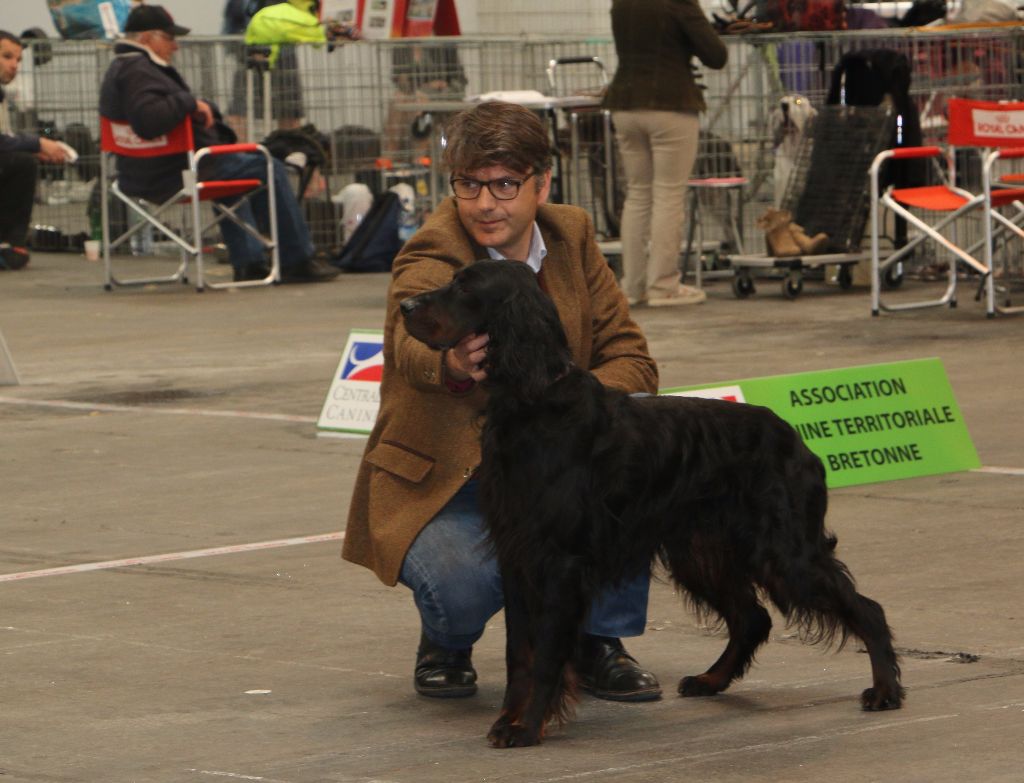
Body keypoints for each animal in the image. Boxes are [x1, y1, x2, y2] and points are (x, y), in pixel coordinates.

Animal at [399, 261, 905, 745]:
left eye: (466, 287)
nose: (404, 306)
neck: (534, 401)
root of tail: (796, 440)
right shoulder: (517, 557)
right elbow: (518, 654)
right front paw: (509, 720)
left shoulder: (558, 561)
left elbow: (544, 656)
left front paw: (527, 728)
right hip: (700, 552)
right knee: (752, 618)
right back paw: (710, 679)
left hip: (783, 553)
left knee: (866, 609)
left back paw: (885, 690)